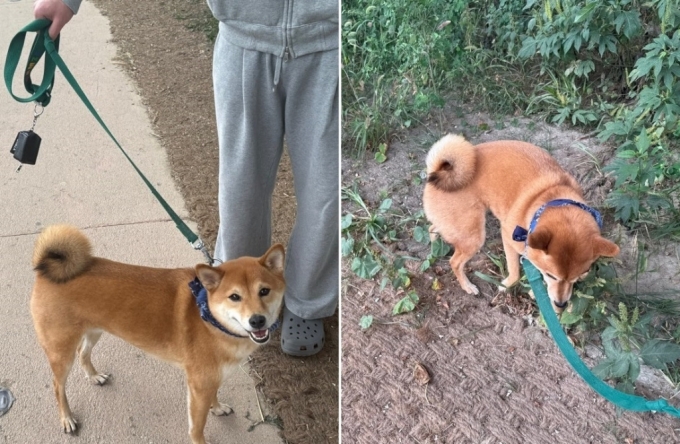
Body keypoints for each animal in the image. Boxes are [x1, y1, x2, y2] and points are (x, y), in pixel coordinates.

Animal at [28, 225, 284, 444]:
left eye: (264, 291)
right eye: (234, 297)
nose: (257, 320)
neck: (210, 319)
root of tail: (45, 271)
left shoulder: (210, 380)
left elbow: (214, 397)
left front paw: (218, 408)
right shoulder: (199, 385)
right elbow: (197, 426)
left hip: (94, 331)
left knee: (84, 353)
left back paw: (94, 376)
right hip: (61, 352)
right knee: (58, 385)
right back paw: (67, 418)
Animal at [422, 134, 620, 310]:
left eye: (578, 278)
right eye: (551, 275)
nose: (560, 304)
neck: (550, 198)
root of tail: (438, 171)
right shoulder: (509, 238)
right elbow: (515, 272)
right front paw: (507, 285)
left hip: (456, 225)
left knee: (433, 227)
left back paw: (434, 245)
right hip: (473, 236)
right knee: (455, 262)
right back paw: (467, 286)